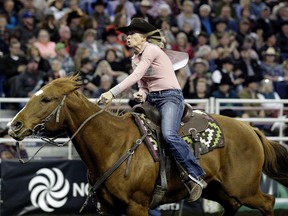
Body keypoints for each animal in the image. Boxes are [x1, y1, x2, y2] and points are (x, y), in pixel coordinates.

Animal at [7, 75, 288, 214]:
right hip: (220, 191)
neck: (113, 144)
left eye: (46, 99)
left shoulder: (137, 207)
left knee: (268, 202)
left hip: (244, 189)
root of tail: (251, 129)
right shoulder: (108, 209)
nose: (14, 126)